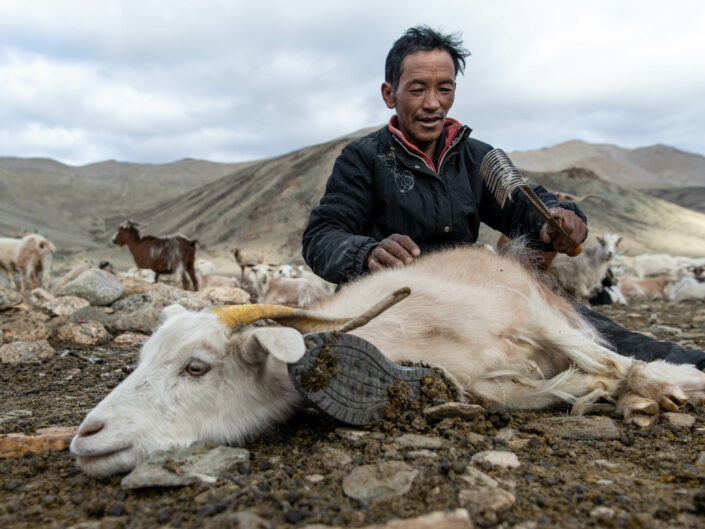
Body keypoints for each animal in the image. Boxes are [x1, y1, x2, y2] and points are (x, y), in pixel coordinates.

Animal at [67, 245, 704, 476]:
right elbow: (554, 386)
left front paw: (672, 385)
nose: (86, 437)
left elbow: (610, 362)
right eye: (142, 360)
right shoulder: (489, 386)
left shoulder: (532, 318)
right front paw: (594, 393)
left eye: (196, 367)